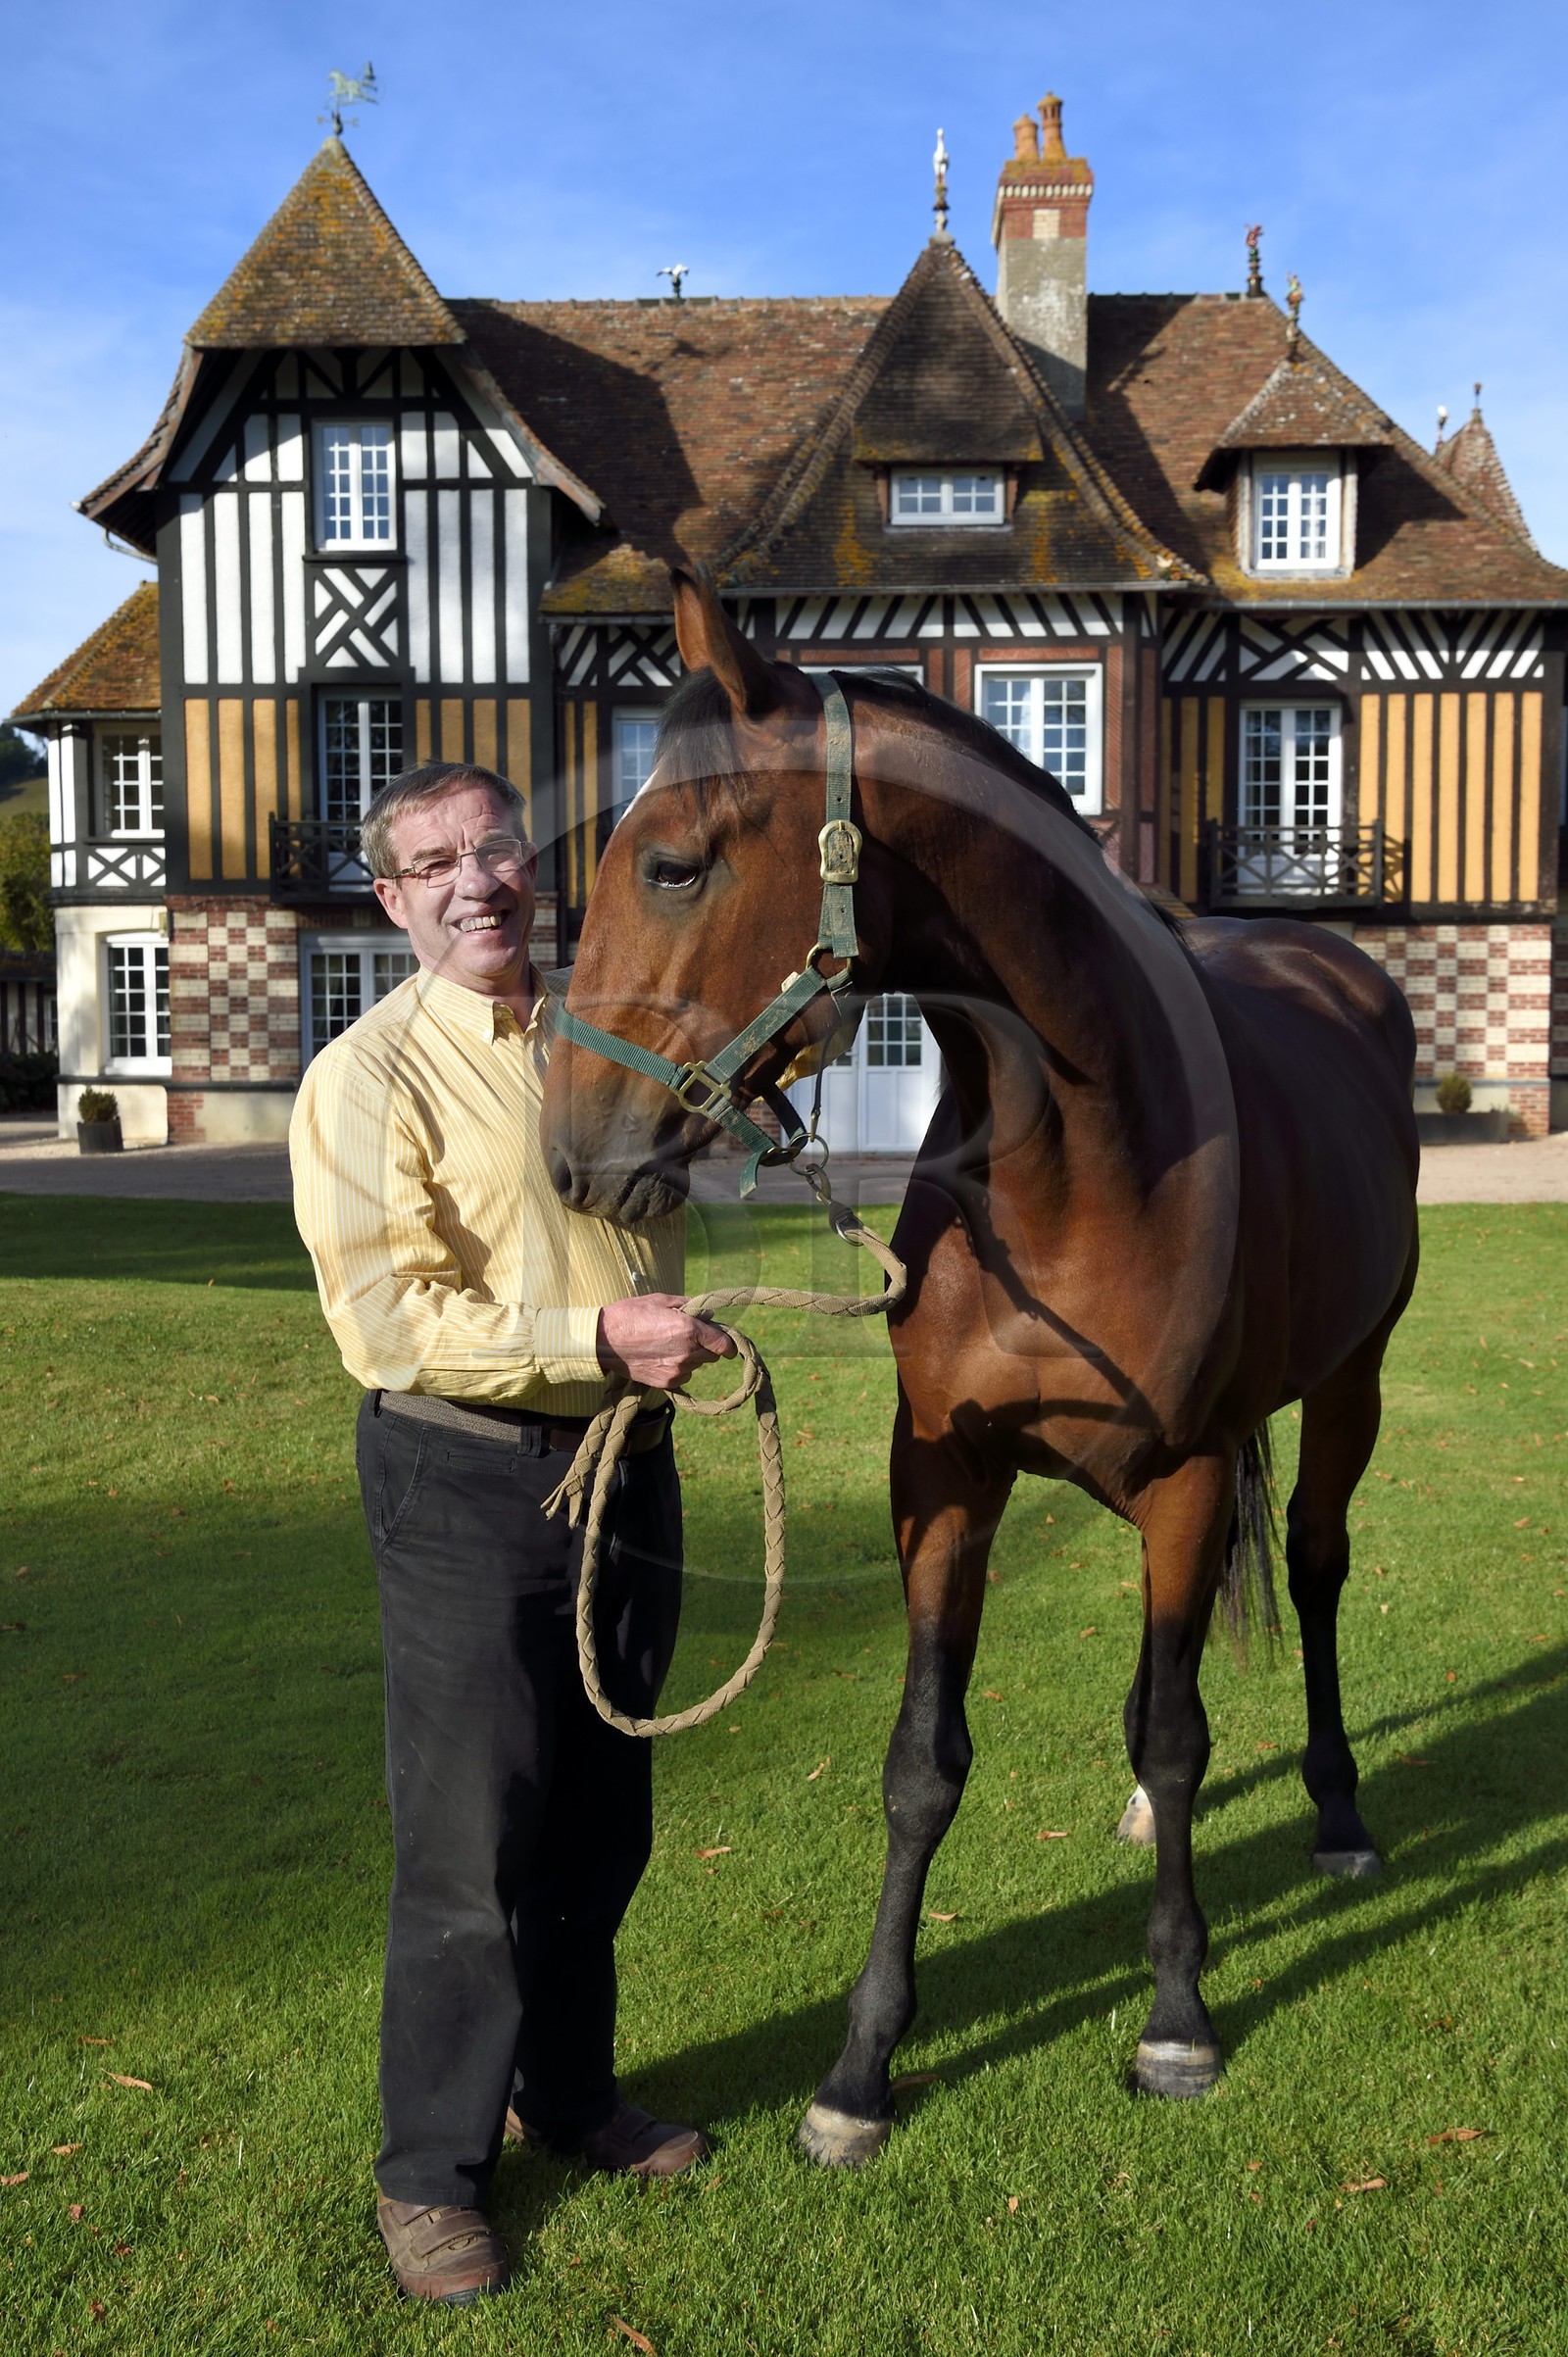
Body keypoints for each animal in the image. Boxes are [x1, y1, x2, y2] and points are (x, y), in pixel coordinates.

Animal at [540, 567, 1419, 2164]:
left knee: (1316, 1570)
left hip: (1351, 1387)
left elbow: (1182, 1732)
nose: (574, 1154)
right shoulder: (943, 1473)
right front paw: (861, 2066)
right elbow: (924, 1763)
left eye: (676, 867)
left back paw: (1334, 1814)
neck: (1077, 1159)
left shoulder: (1187, 1474)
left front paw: (1178, 2016)